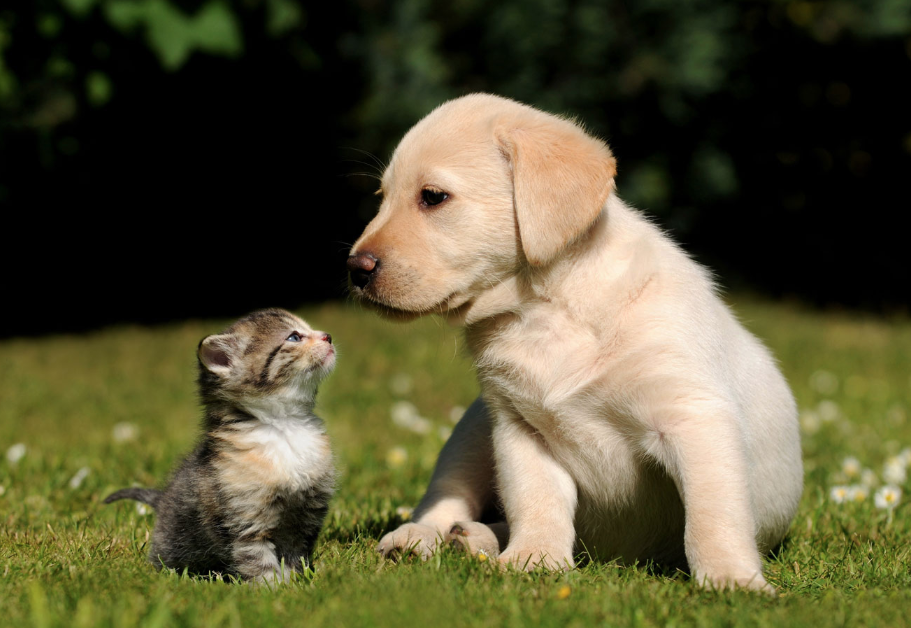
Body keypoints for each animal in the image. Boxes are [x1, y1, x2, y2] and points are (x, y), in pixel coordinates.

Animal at [106, 310, 334, 584]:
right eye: (294, 337)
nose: (328, 336)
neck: (285, 427)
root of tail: (162, 499)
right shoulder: (244, 520)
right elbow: (258, 560)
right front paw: (272, 588)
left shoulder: (305, 516)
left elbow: (294, 555)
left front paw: (298, 583)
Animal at [346, 91, 800, 592]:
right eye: (382, 198)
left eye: (432, 197)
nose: (355, 269)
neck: (545, 310)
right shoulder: (519, 428)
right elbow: (537, 500)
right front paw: (534, 559)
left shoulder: (694, 418)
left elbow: (713, 515)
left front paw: (731, 579)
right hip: (472, 431)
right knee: (445, 498)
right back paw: (426, 537)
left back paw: (474, 539)